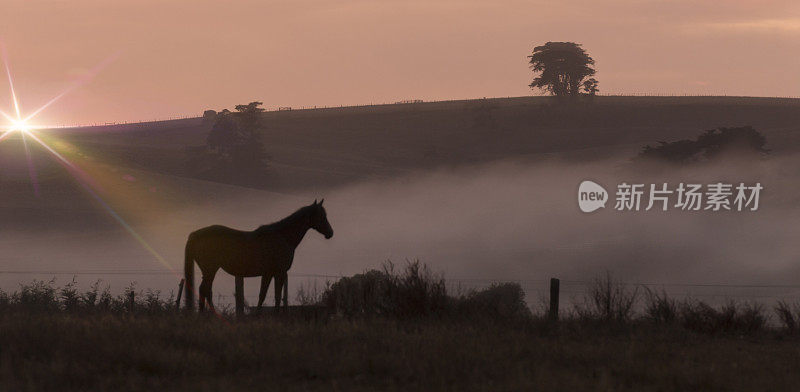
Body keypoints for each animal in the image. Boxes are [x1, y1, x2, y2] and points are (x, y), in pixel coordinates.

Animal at [186, 201, 332, 310]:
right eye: (322, 216)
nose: (331, 233)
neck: (282, 237)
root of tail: (195, 234)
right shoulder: (279, 272)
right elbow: (273, 296)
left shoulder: (270, 273)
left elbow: (266, 295)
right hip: (210, 270)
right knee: (204, 290)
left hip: (209, 271)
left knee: (205, 291)